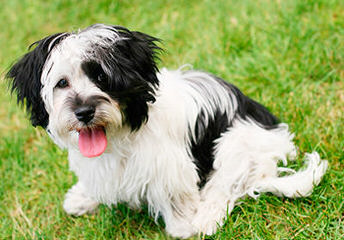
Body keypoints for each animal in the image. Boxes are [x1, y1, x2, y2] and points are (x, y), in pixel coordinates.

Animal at [6, 24, 328, 238]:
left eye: (102, 78)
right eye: (62, 83)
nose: (84, 112)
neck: (121, 134)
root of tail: (277, 140)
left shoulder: (168, 165)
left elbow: (175, 194)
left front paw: (183, 226)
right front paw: (83, 197)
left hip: (237, 140)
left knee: (227, 183)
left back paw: (206, 217)